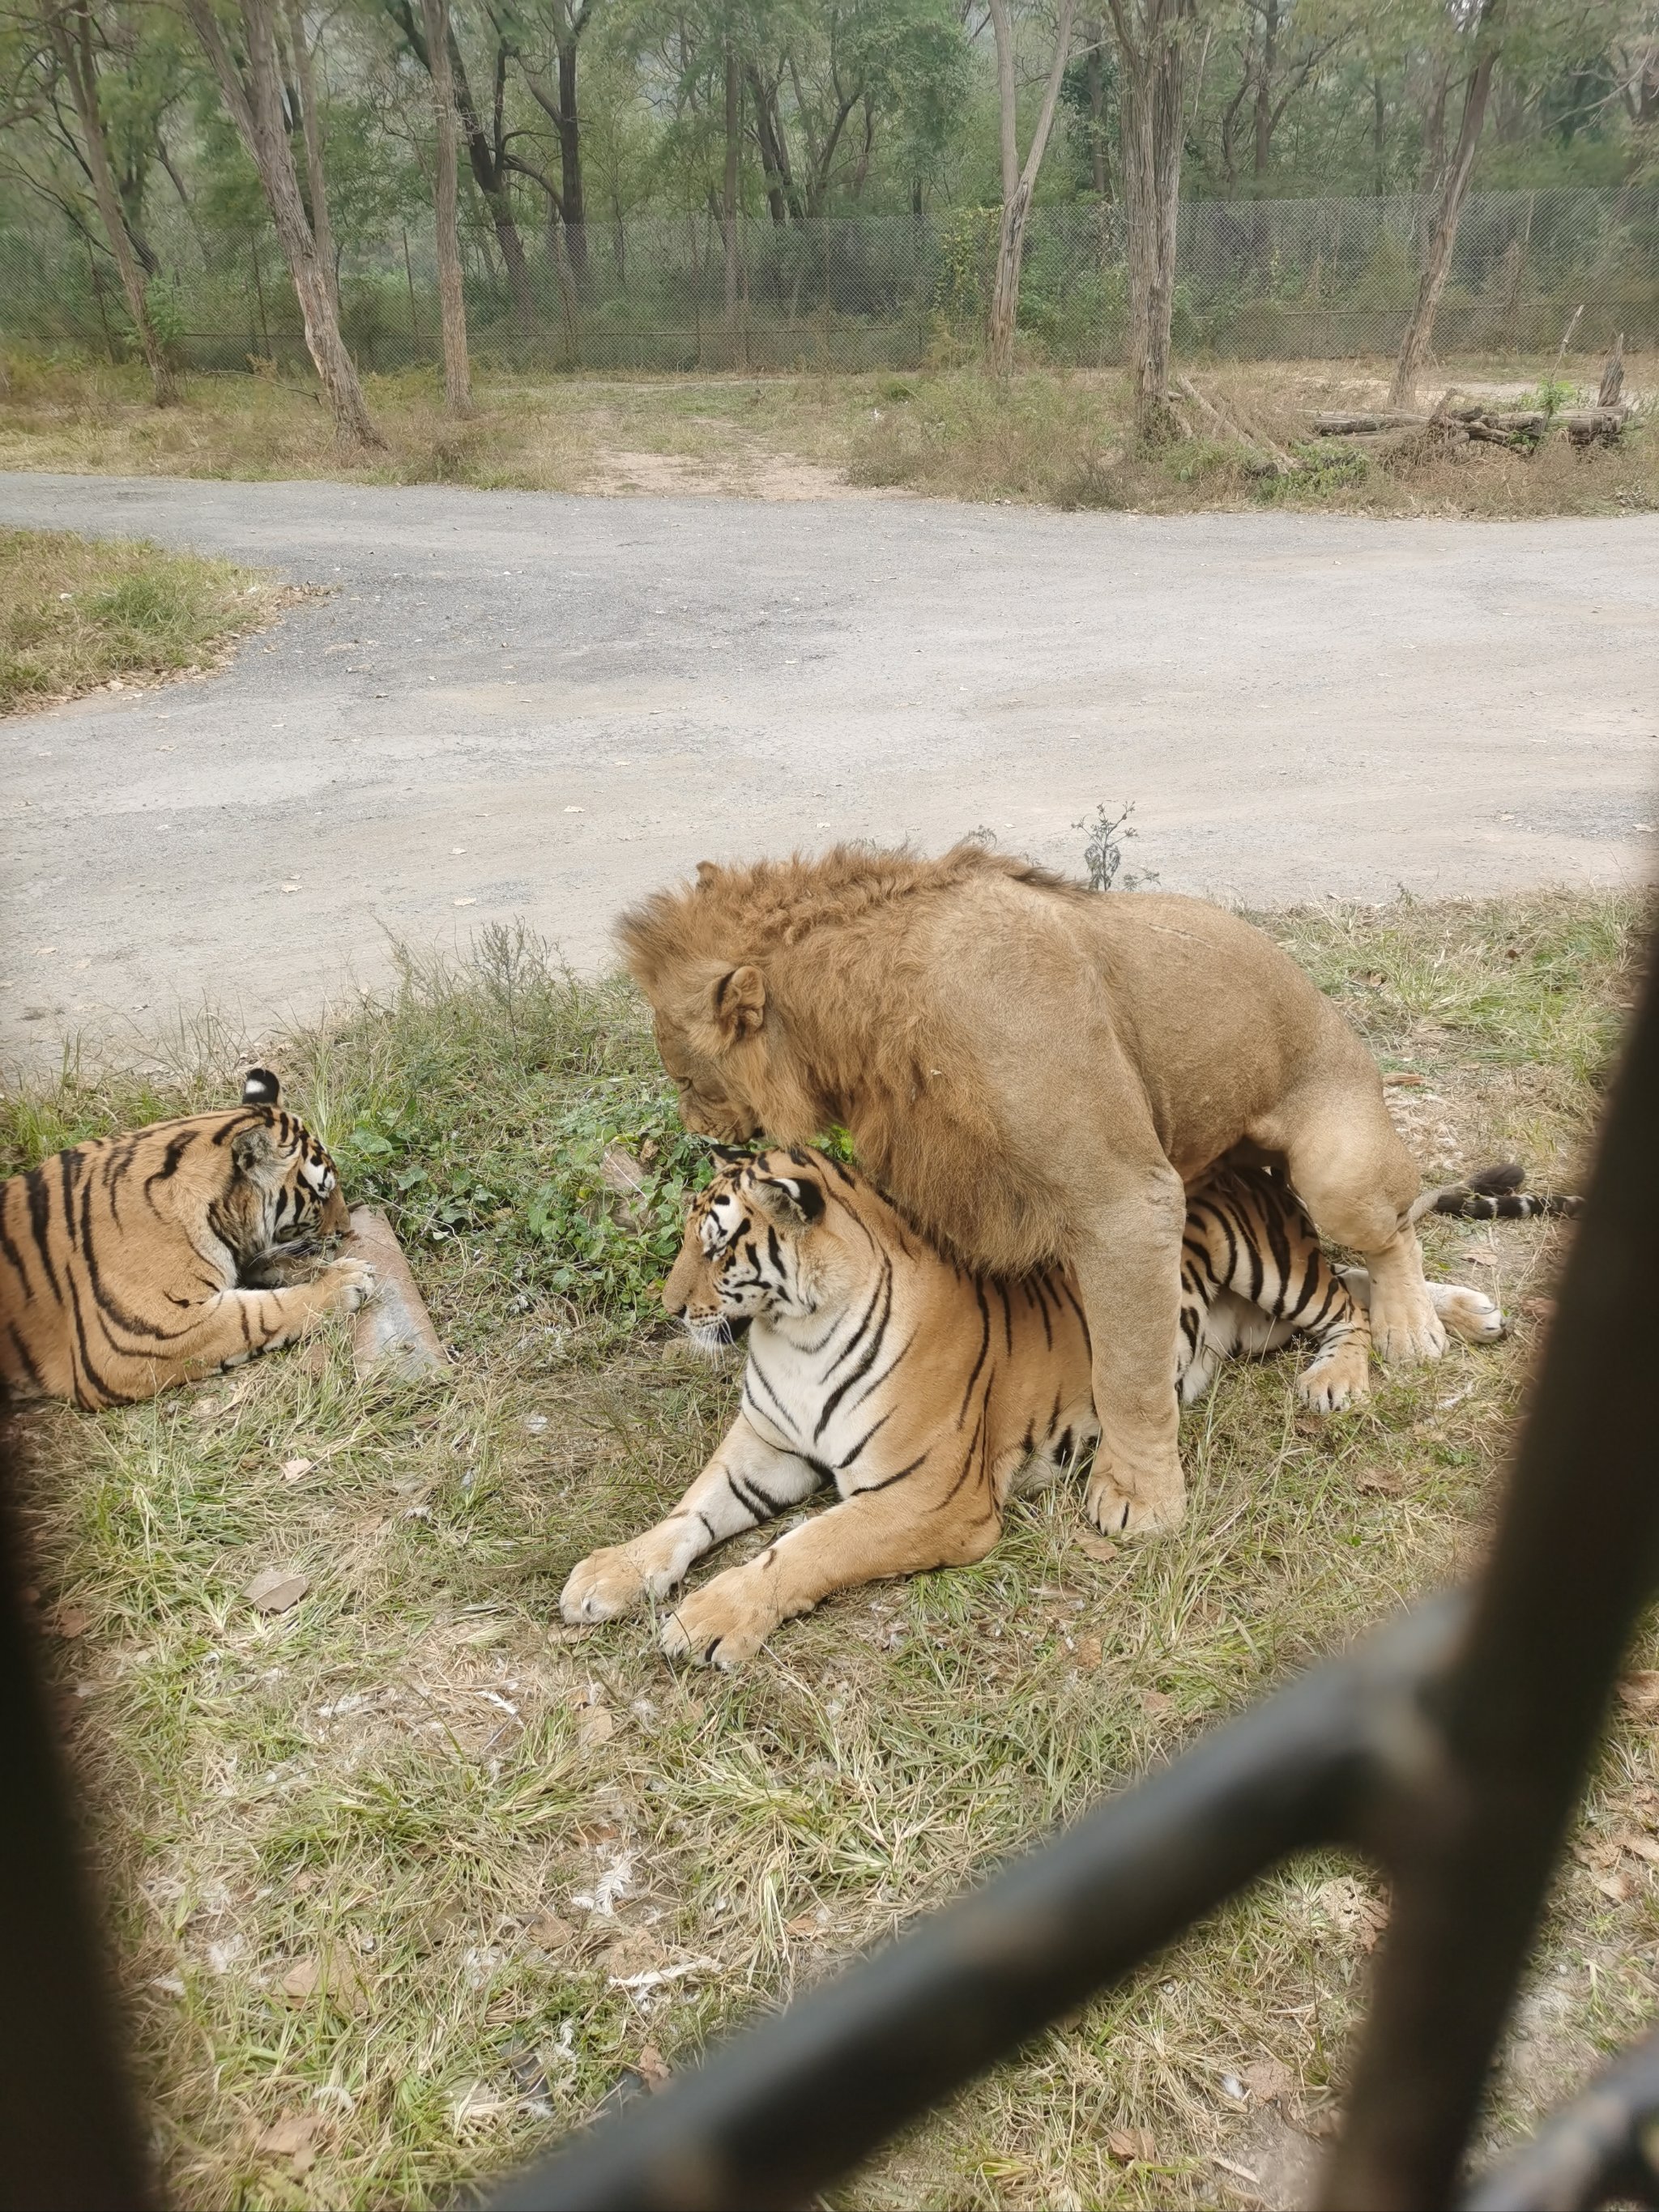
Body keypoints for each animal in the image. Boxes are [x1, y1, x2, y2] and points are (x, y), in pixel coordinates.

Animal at [570, 1150, 1548, 1663]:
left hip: (1260, 1260)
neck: (793, 1331)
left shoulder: (930, 1498)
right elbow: (686, 1515)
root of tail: (1250, 1159)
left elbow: (803, 1548)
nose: (669, 1308)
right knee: (1356, 1279)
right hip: (1253, 1319)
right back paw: (1466, 1313)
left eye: (714, 1246)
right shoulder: (765, 1448)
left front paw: (709, 1619)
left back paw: (1347, 1375)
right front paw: (609, 1574)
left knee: (1346, 1302)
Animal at [619, 845, 1451, 1539]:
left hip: (1336, 1169)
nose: (698, 1129)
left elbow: (1129, 1370)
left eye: (688, 1077)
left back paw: (1411, 1329)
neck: (863, 1023)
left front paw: (1142, 1498)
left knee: (1396, 1231)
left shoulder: (1127, 1197)